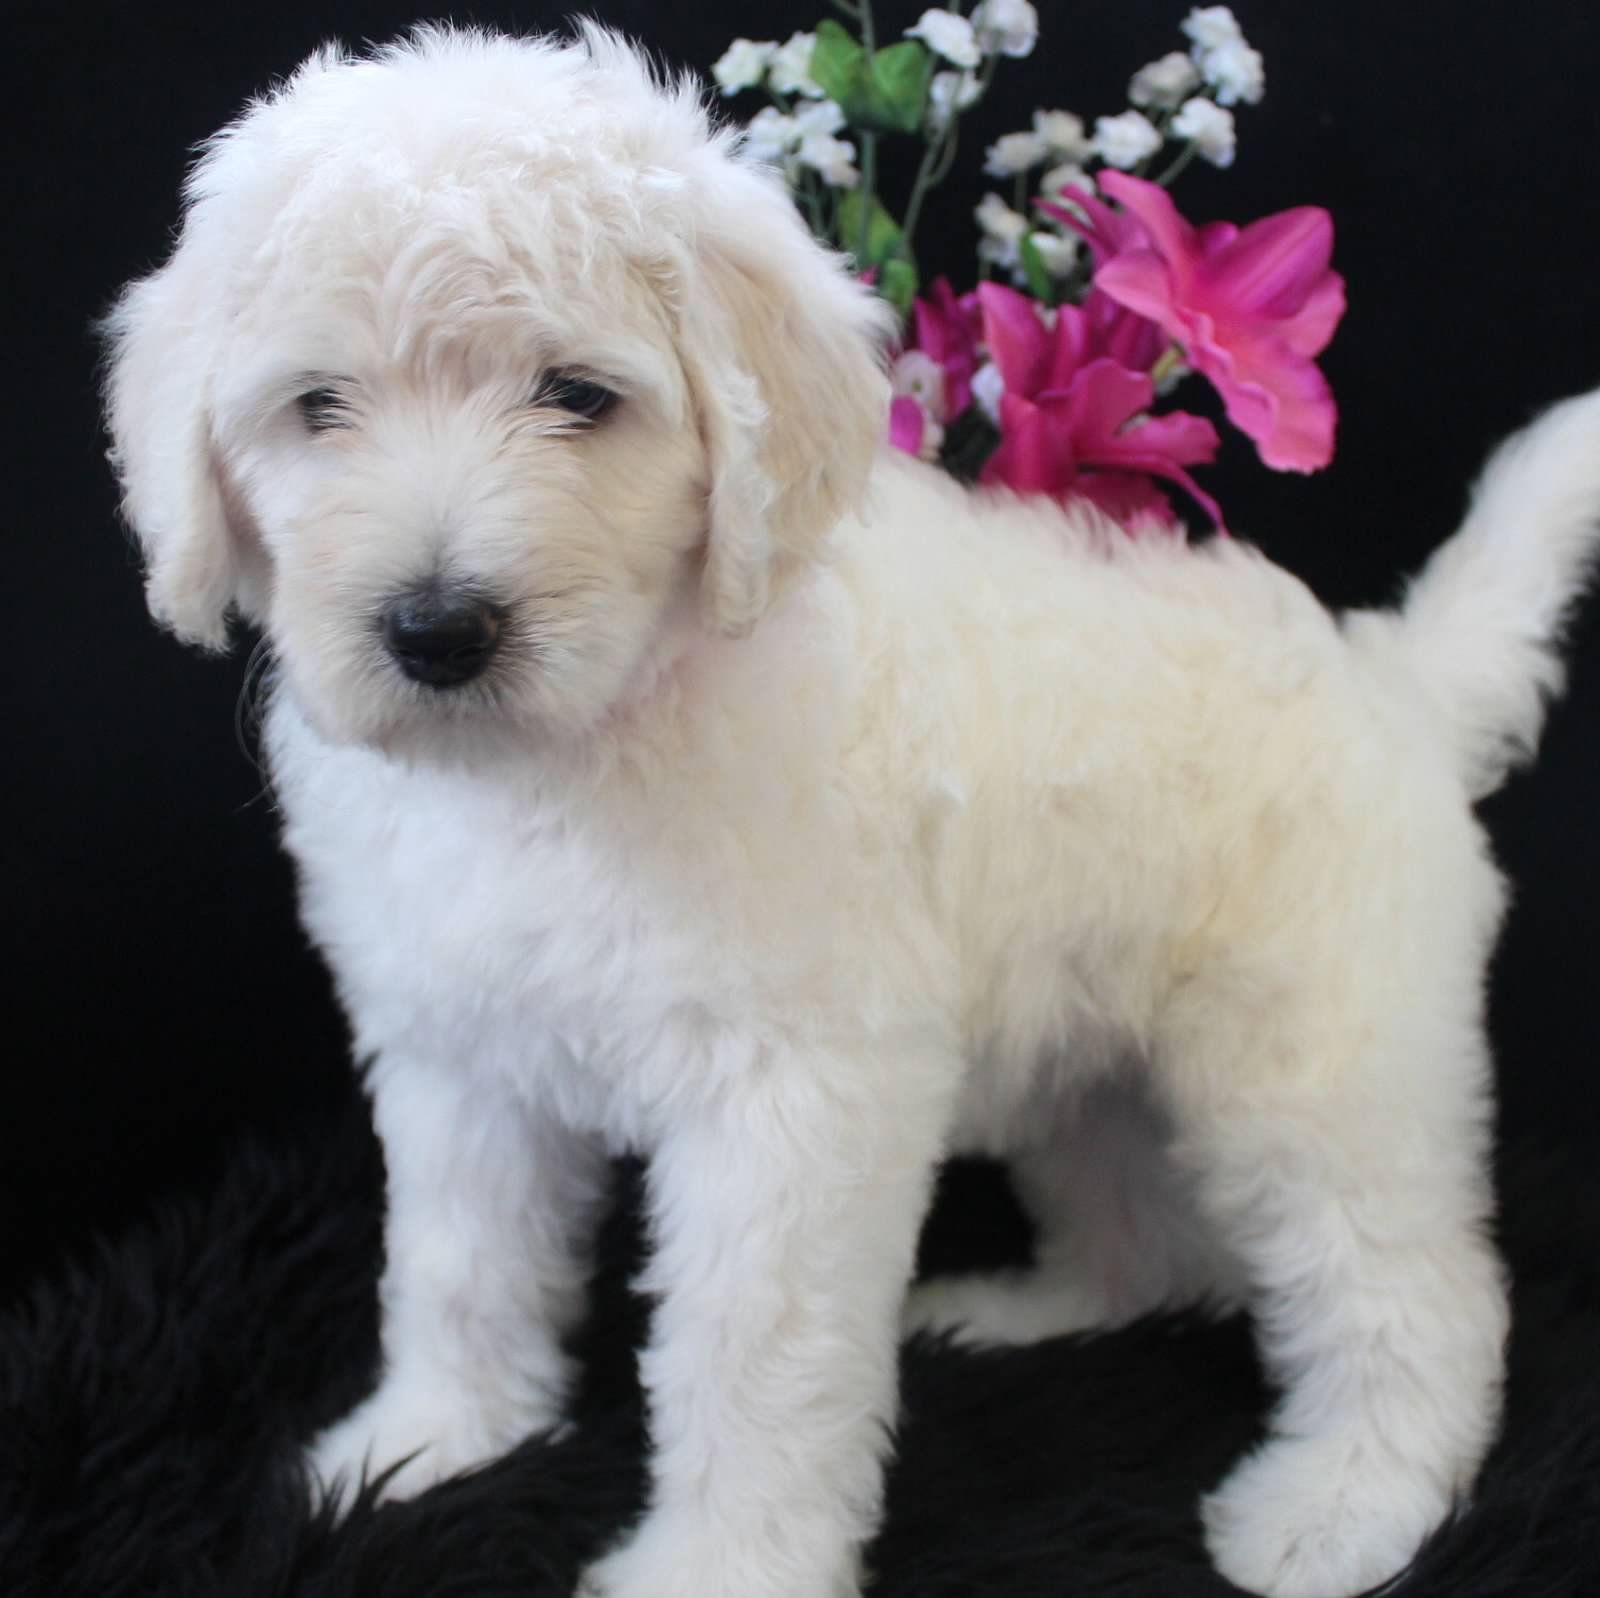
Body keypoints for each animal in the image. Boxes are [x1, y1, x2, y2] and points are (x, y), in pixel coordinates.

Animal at [103, 21, 1600, 1598]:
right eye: (319, 407)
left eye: (576, 395)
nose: (438, 630)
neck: (565, 753)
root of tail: (1391, 678)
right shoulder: (460, 1054)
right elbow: (457, 1263)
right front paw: (427, 1443)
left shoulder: (790, 1096)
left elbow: (750, 1353)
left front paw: (717, 1566)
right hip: (1094, 1046)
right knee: (1157, 1234)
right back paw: (1025, 1311)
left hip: (1319, 1053)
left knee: (1410, 1282)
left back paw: (1351, 1505)